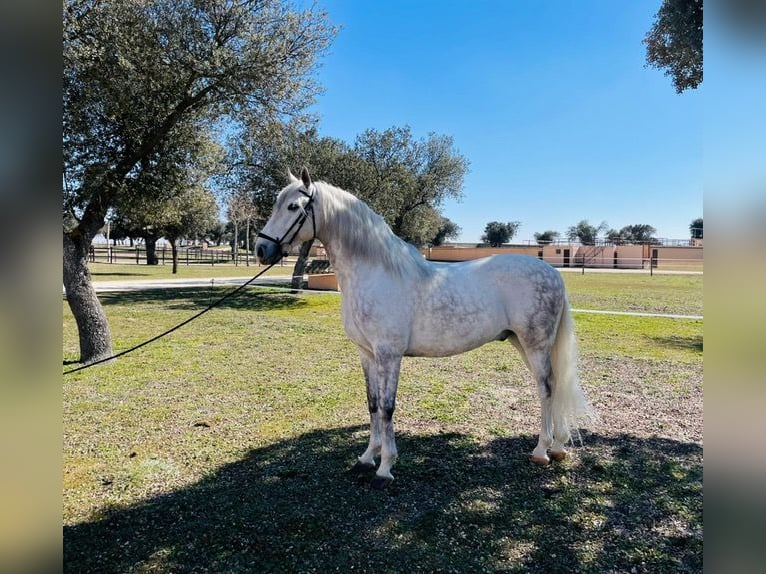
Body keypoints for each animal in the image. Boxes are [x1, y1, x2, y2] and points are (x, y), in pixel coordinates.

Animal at [256, 166, 592, 490]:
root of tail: (552, 272)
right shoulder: (367, 354)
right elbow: (372, 404)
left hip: (536, 344)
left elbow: (387, 408)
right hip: (521, 342)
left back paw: (541, 451)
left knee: (547, 388)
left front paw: (385, 468)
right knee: (552, 385)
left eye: (293, 206)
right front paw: (367, 458)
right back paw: (558, 447)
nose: (261, 249)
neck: (376, 273)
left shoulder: (389, 355)